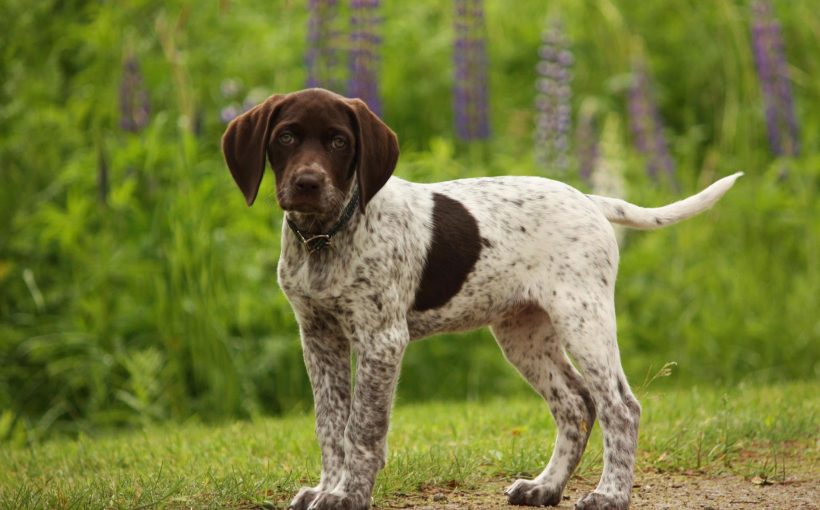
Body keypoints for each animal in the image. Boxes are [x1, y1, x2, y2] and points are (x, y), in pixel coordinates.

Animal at [223, 88, 744, 510]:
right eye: (286, 138)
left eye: (338, 142)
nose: (307, 184)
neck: (327, 236)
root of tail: (589, 200)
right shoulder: (319, 339)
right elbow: (330, 425)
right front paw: (327, 487)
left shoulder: (381, 341)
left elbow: (362, 428)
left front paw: (349, 494)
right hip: (523, 333)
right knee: (576, 405)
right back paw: (545, 487)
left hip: (583, 319)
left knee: (620, 406)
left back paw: (610, 495)